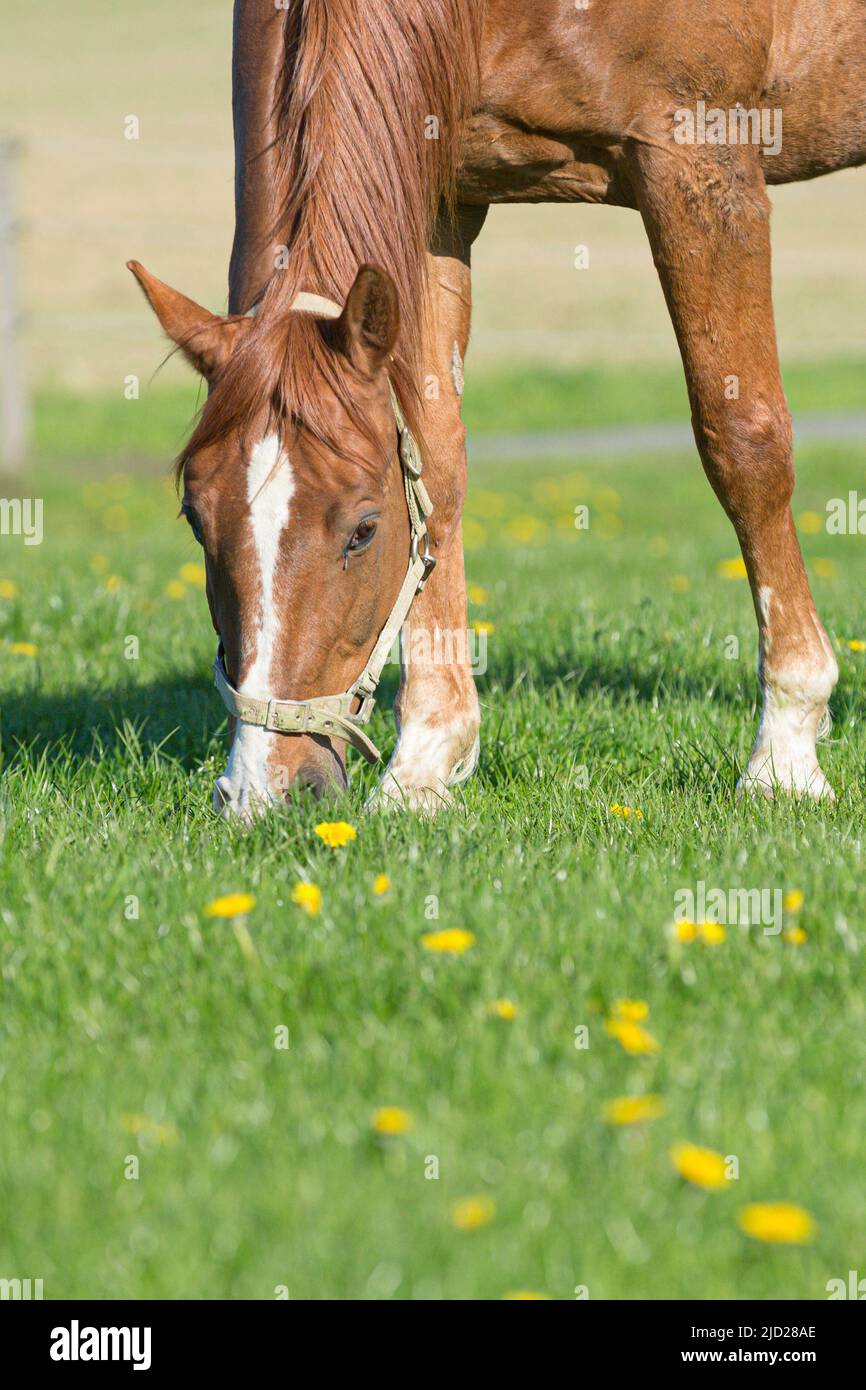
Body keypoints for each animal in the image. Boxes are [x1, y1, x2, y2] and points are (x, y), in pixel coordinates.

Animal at [128, 2, 866, 811]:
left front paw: (785, 753)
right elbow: (436, 461)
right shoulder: (438, 201)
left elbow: (742, 442)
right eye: (196, 521)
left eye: (363, 530)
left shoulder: (702, 159)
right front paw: (421, 762)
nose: (265, 794)